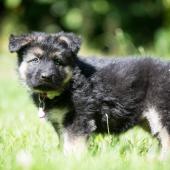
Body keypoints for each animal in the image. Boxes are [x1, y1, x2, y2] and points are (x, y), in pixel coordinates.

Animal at [8, 31, 170, 157]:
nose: (46, 76)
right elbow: (65, 142)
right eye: (35, 60)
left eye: (58, 61)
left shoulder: (78, 119)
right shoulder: (60, 123)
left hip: (162, 113)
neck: (68, 84)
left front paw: (73, 161)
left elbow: (73, 145)